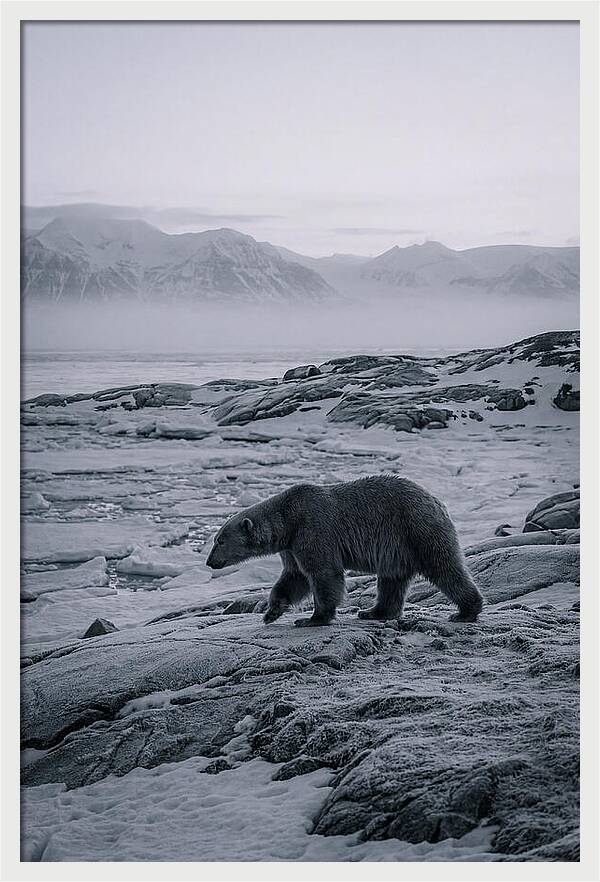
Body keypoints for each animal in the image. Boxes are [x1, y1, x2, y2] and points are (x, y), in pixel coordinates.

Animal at [205, 475, 483, 627]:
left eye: (219, 540)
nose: (209, 562)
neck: (288, 519)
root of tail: (437, 501)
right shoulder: (292, 546)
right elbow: (294, 577)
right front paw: (271, 612)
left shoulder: (313, 528)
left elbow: (323, 573)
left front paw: (313, 618)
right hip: (397, 548)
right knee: (392, 580)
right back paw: (373, 612)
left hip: (417, 529)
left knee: (444, 567)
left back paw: (466, 611)